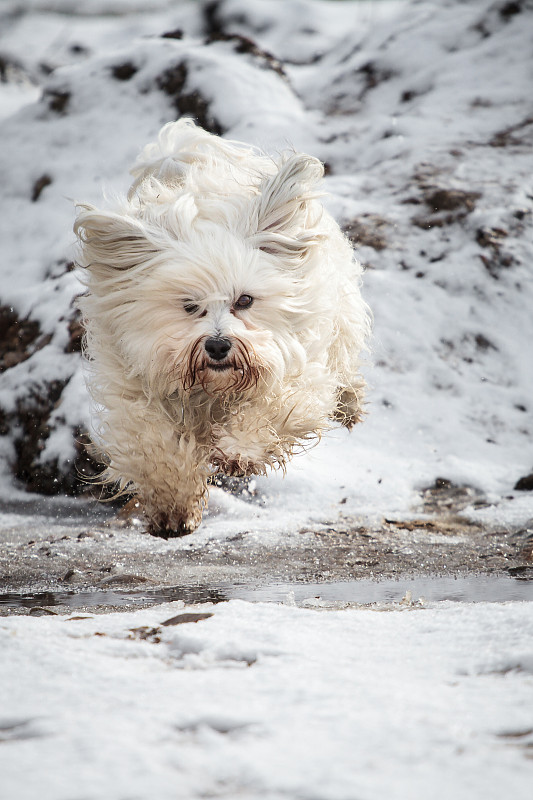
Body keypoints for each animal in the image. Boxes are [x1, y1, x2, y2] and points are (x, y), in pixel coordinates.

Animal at [72, 119, 368, 536]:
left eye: (244, 300)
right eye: (189, 306)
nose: (217, 346)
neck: (213, 389)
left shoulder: (296, 364)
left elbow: (271, 405)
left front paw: (238, 450)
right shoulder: (134, 382)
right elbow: (156, 441)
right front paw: (174, 506)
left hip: (340, 318)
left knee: (344, 365)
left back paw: (350, 403)